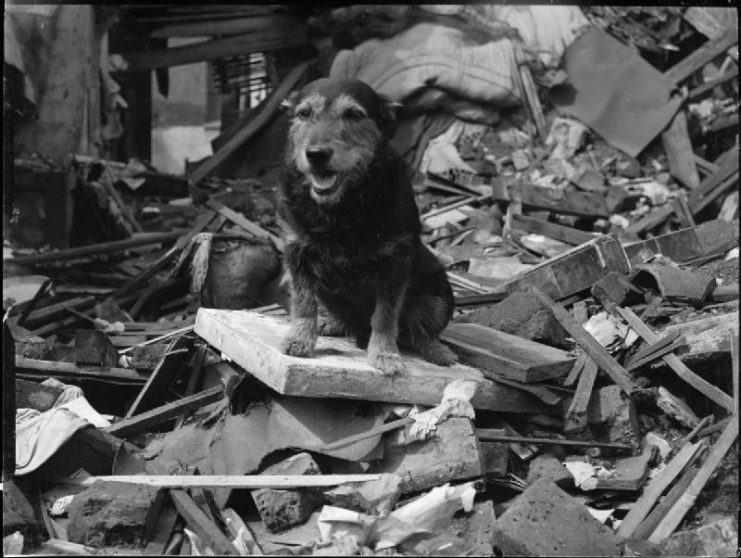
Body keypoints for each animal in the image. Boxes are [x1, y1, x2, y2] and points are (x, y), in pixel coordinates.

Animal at [274, 79, 454, 376]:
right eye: (304, 113)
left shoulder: (396, 262)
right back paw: (332, 324)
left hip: (439, 296)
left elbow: (385, 315)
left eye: (354, 114)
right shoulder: (296, 251)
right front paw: (299, 338)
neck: (340, 208)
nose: (316, 155)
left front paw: (384, 354)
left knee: (421, 331)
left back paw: (437, 350)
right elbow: (303, 302)